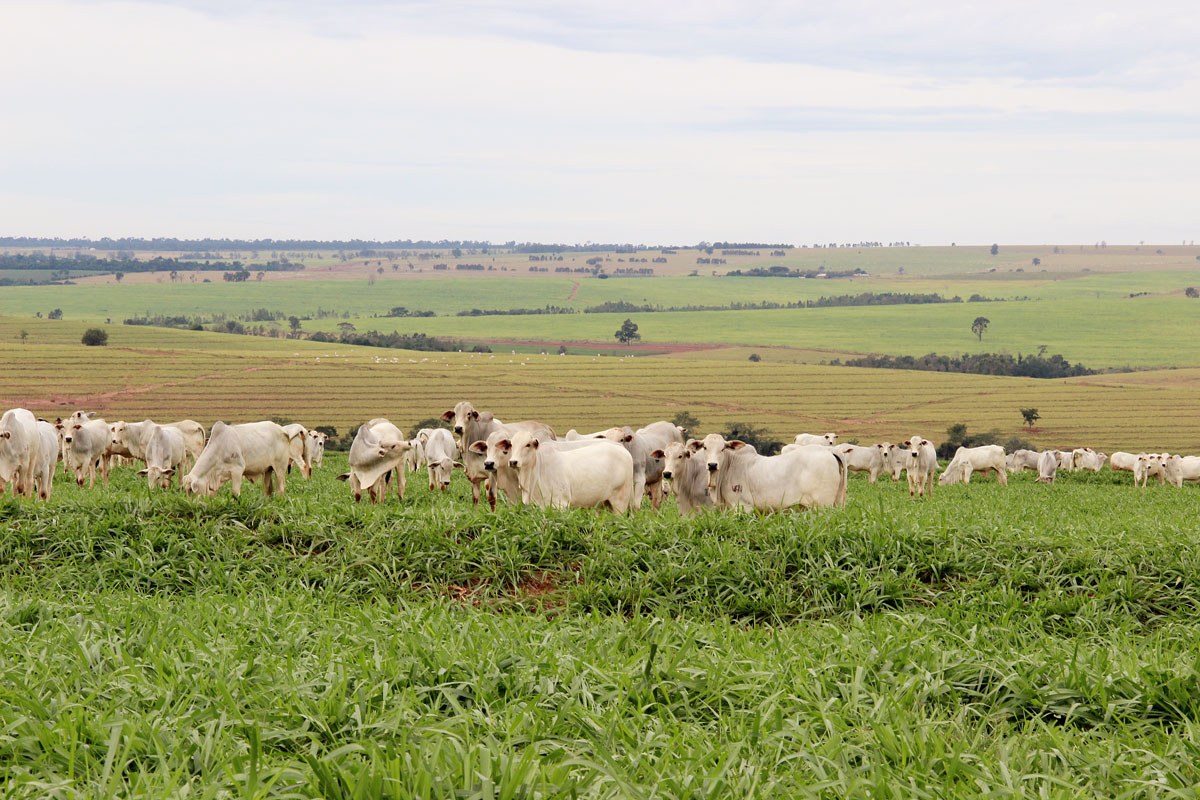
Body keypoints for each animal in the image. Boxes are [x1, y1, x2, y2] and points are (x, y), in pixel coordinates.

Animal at [506, 431, 638, 513]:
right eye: (512, 444)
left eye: (527, 444)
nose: (513, 462)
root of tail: (624, 451)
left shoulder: (561, 504)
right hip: (602, 504)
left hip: (620, 501)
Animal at [691, 434, 849, 510]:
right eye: (704, 447)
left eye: (723, 448)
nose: (712, 465)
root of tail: (829, 450)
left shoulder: (743, 507)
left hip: (823, 505)